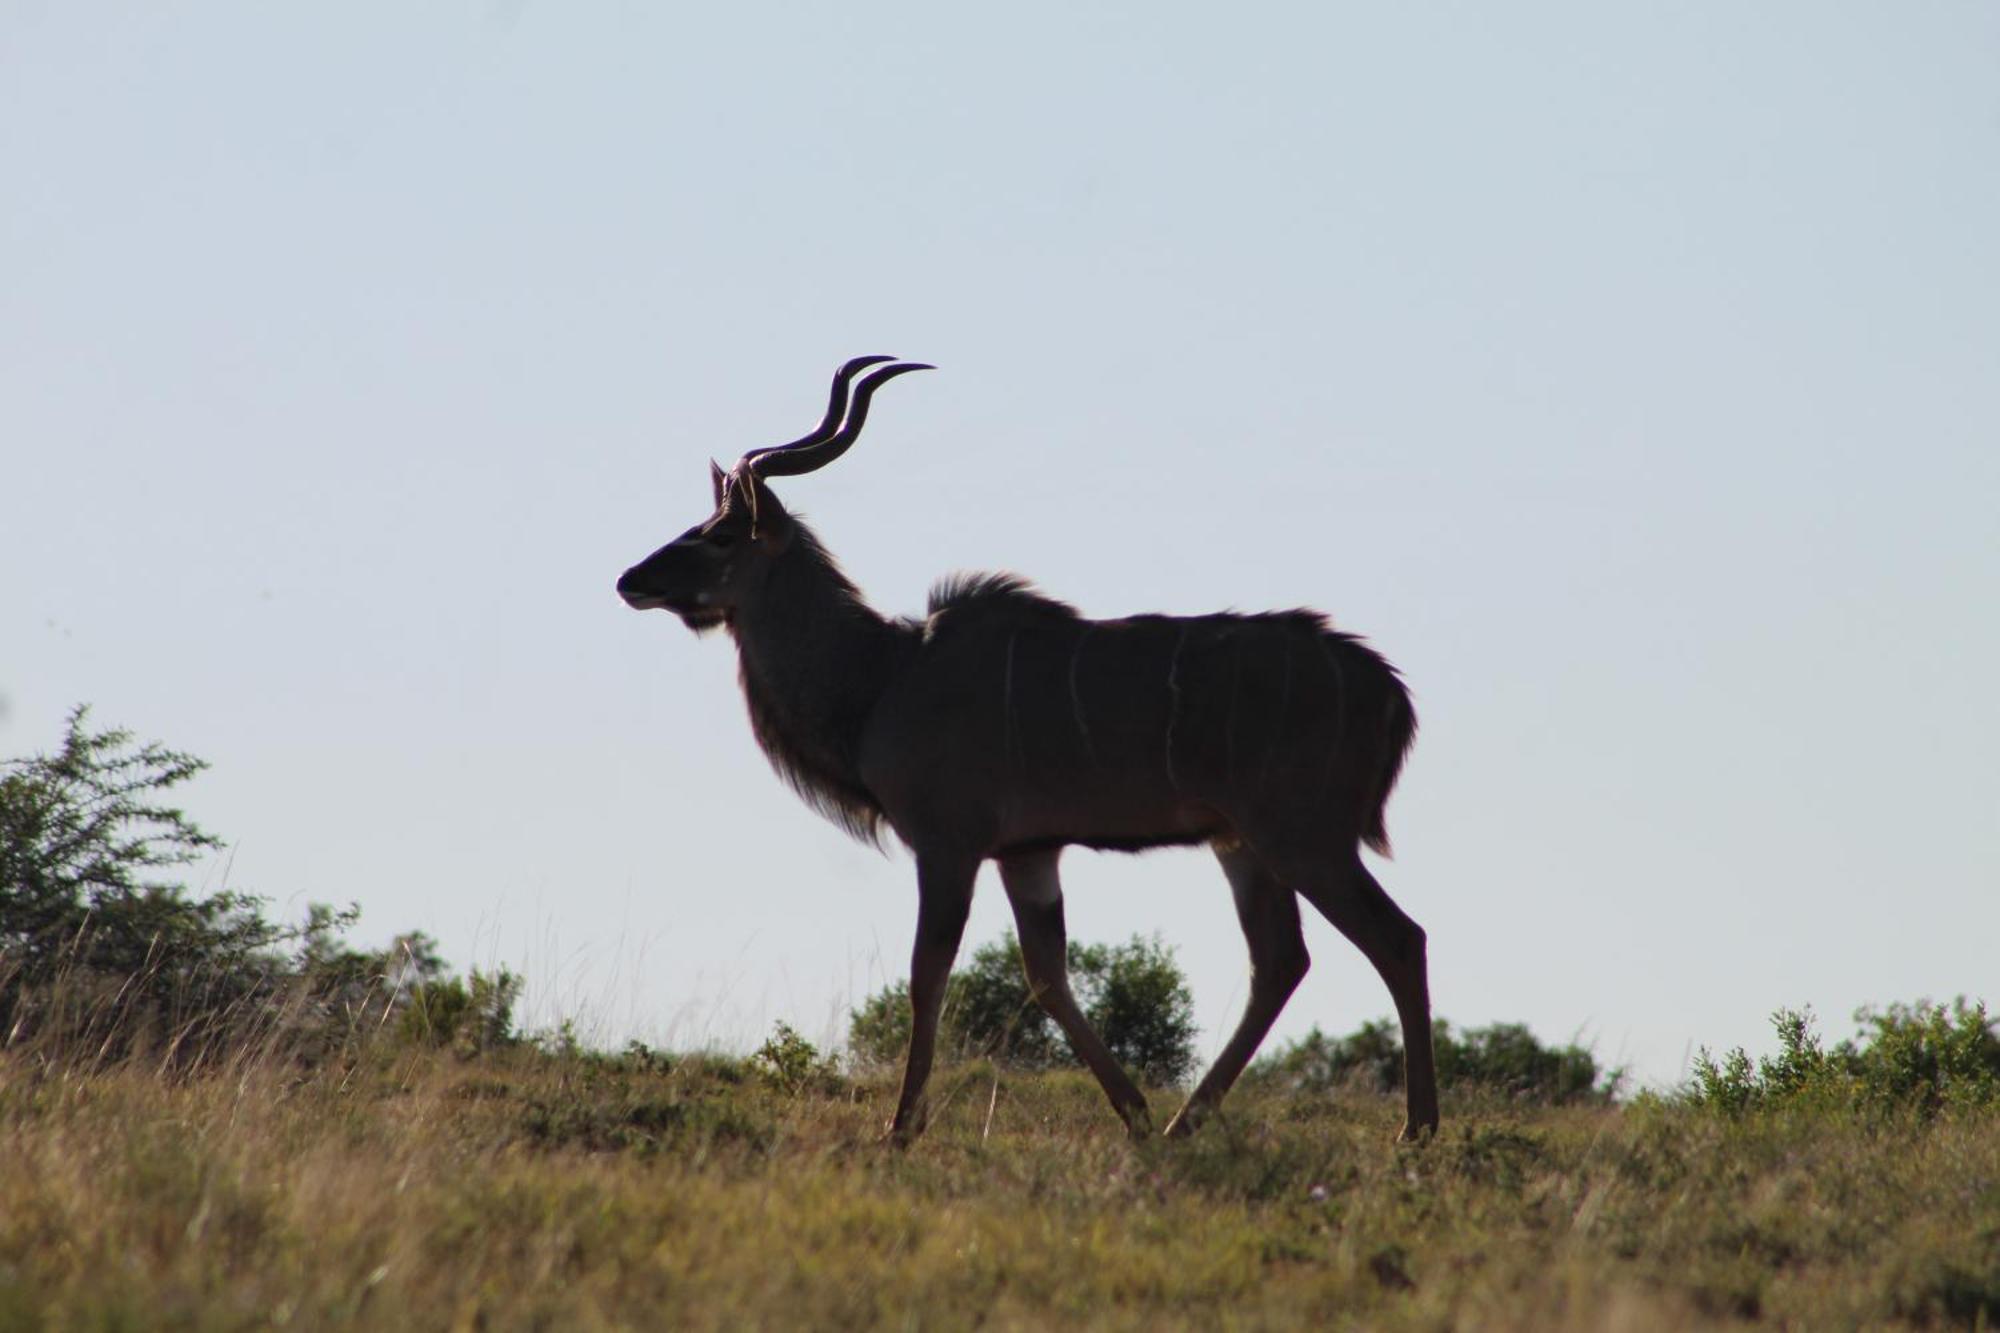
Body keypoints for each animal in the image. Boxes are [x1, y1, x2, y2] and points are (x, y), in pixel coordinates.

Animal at [612, 356, 1440, 1144]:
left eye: (720, 534)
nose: (630, 579)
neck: (881, 675)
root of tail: (1390, 690)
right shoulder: (1028, 850)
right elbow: (1047, 974)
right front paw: (1135, 1114)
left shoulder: (949, 842)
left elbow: (928, 971)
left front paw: (900, 1127)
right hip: (1241, 842)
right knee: (1281, 960)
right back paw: (1186, 1120)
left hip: (1304, 837)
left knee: (1398, 938)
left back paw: (1417, 1129)